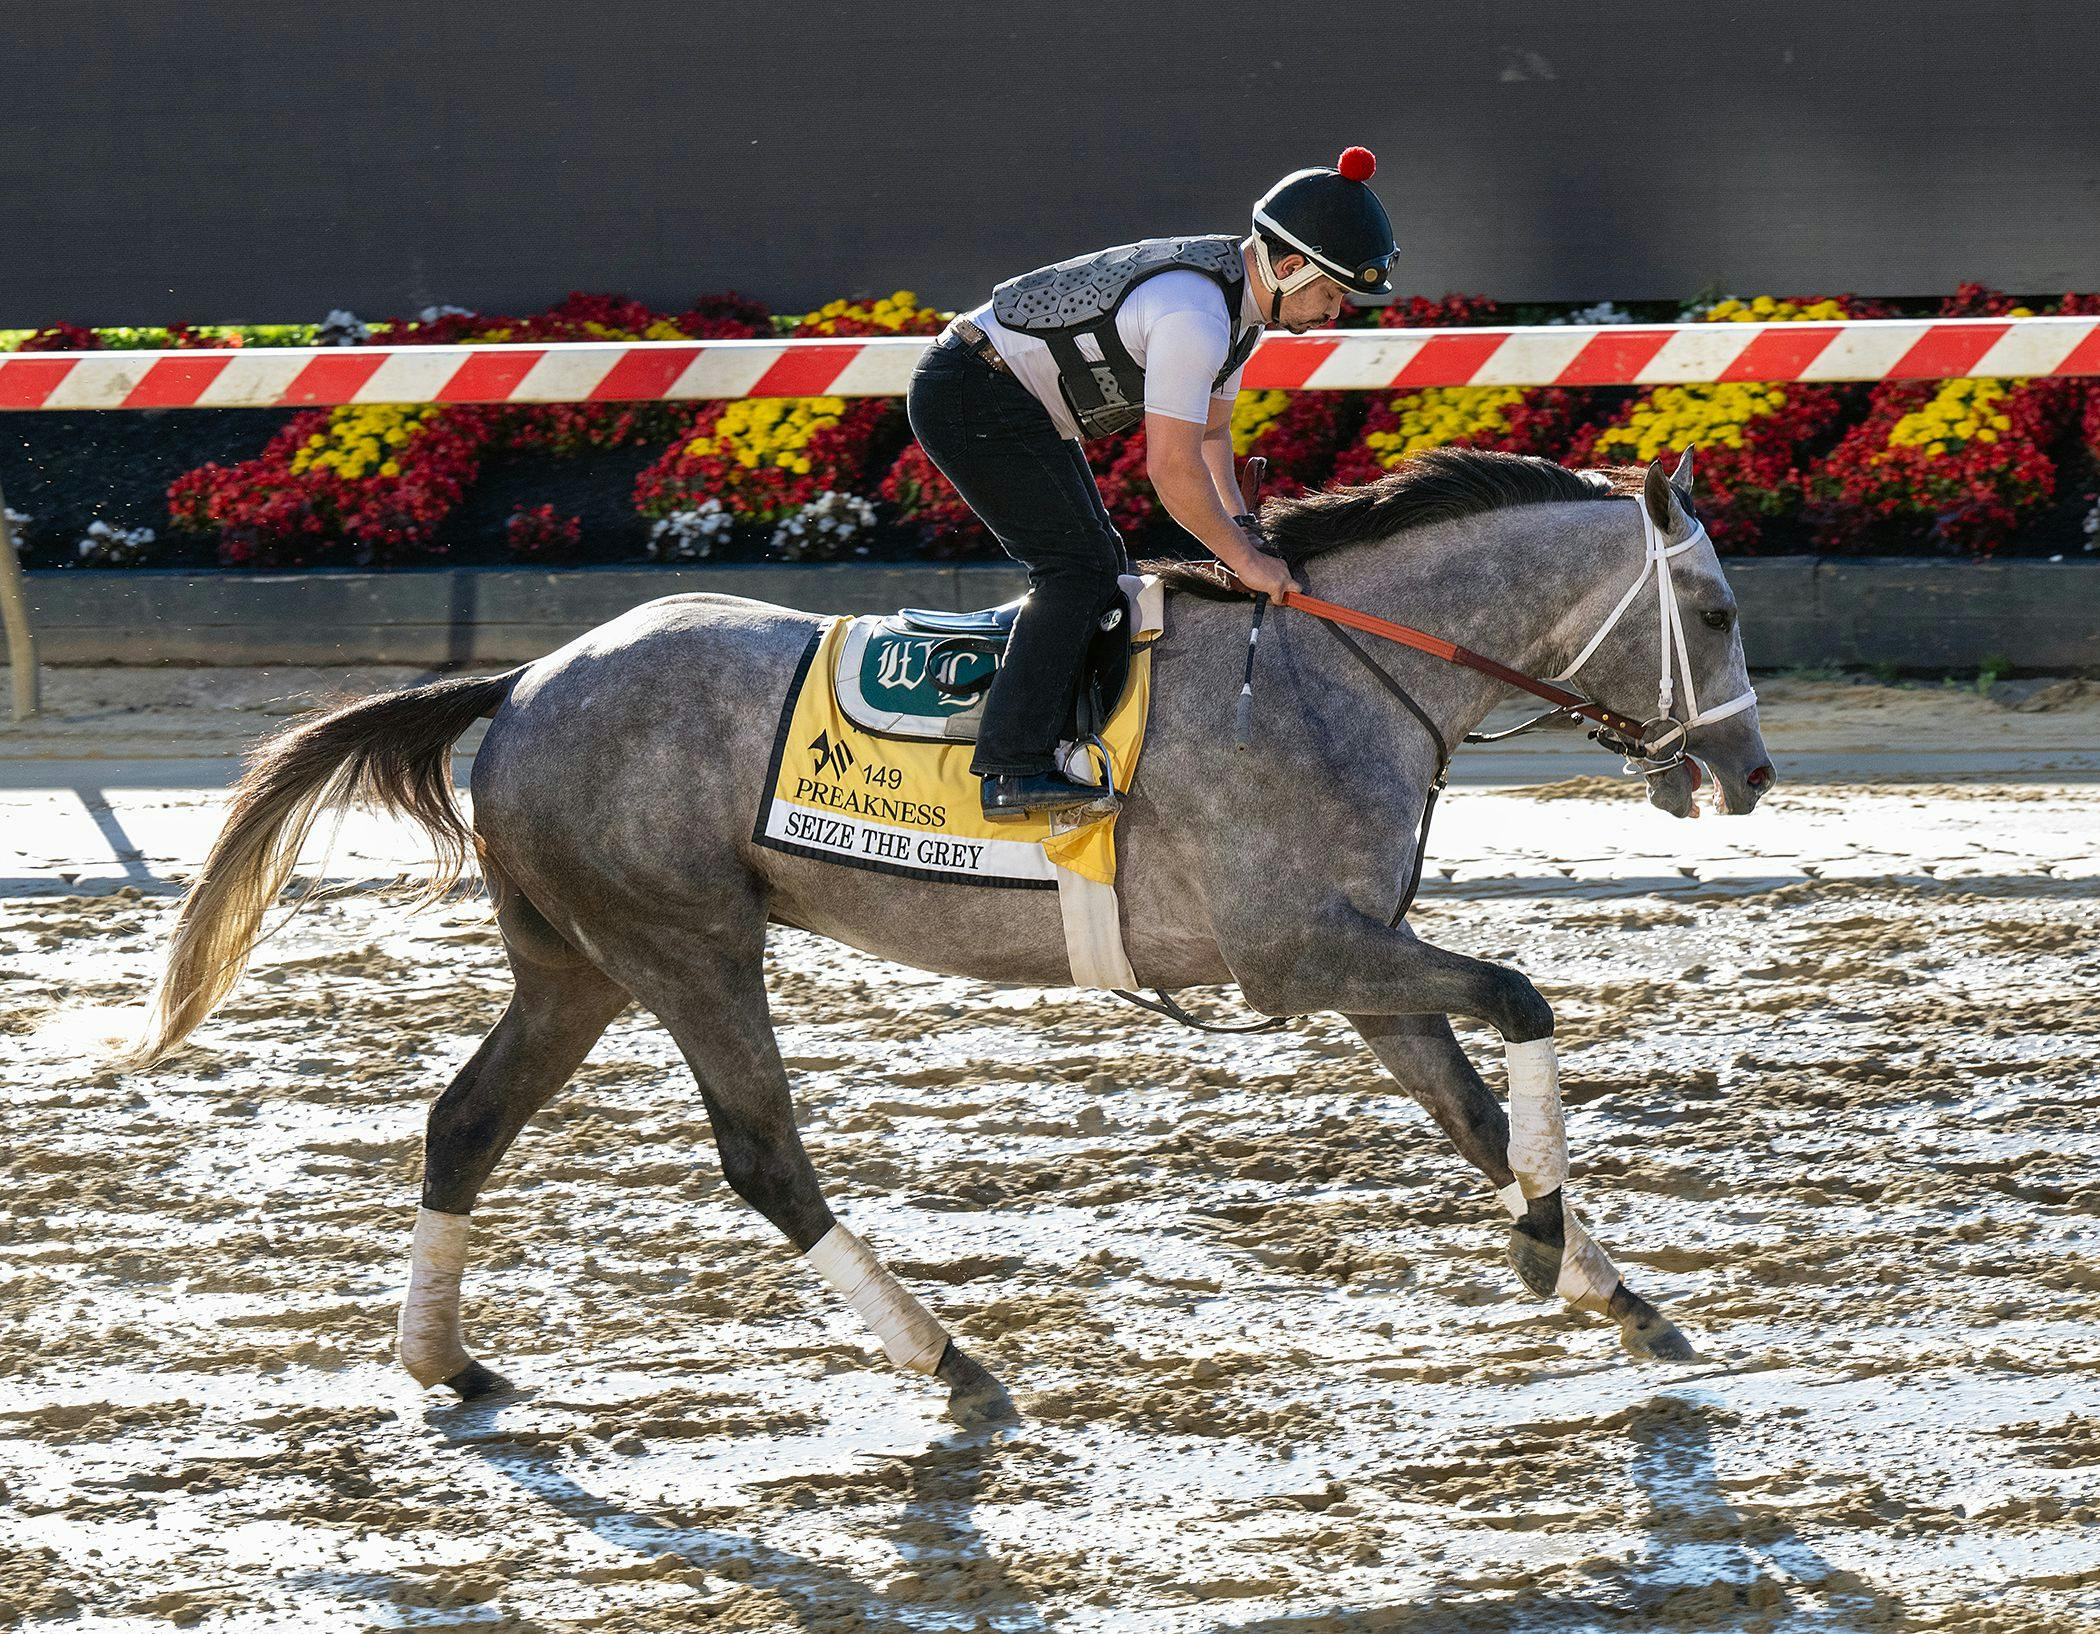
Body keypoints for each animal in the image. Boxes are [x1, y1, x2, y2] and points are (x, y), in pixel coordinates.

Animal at [127, 438, 1772, 1419]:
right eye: (1713, 607)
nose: (1752, 772)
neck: (1342, 672)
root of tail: (525, 680)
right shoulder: (1296, 955)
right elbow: (1526, 1000)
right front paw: (1551, 1244)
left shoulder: (1362, 964)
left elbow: (1478, 1108)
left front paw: (1609, 1283)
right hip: (687, 944)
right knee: (762, 1154)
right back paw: (949, 1356)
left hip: (577, 962)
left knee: (464, 1120)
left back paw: (443, 1355)